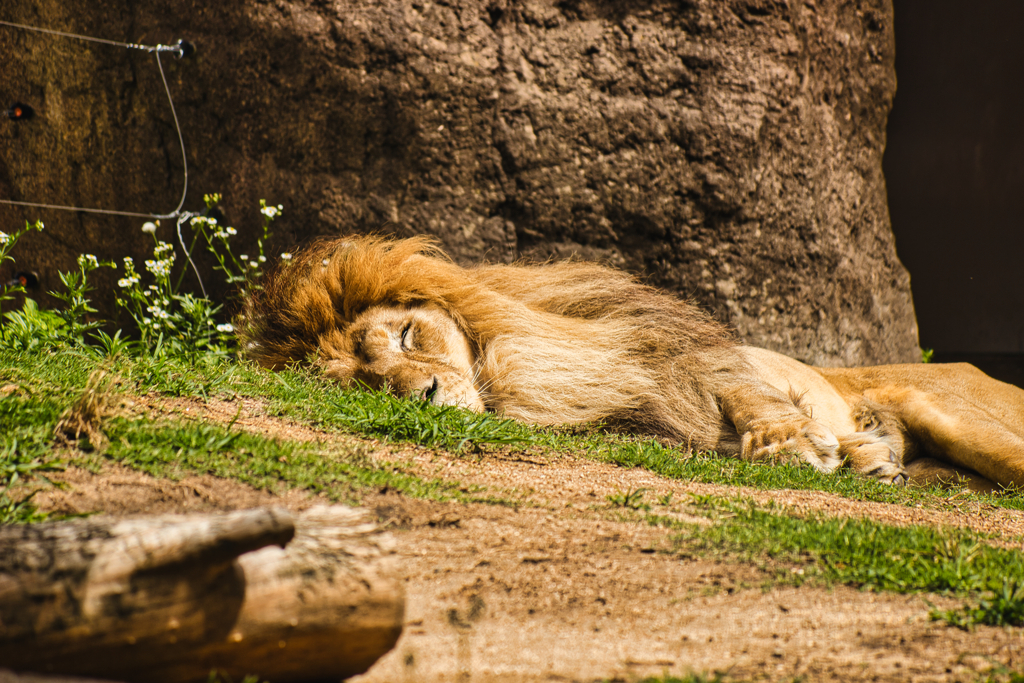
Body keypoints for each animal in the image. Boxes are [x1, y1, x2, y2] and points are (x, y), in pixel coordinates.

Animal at [239, 235, 1024, 491]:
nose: (426, 393)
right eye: (365, 385)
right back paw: (876, 458)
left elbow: (752, 400)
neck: (506, 373)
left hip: (965, 418)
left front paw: (790, 444)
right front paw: (841, 453)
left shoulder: (678, 355)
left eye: (407, 335)